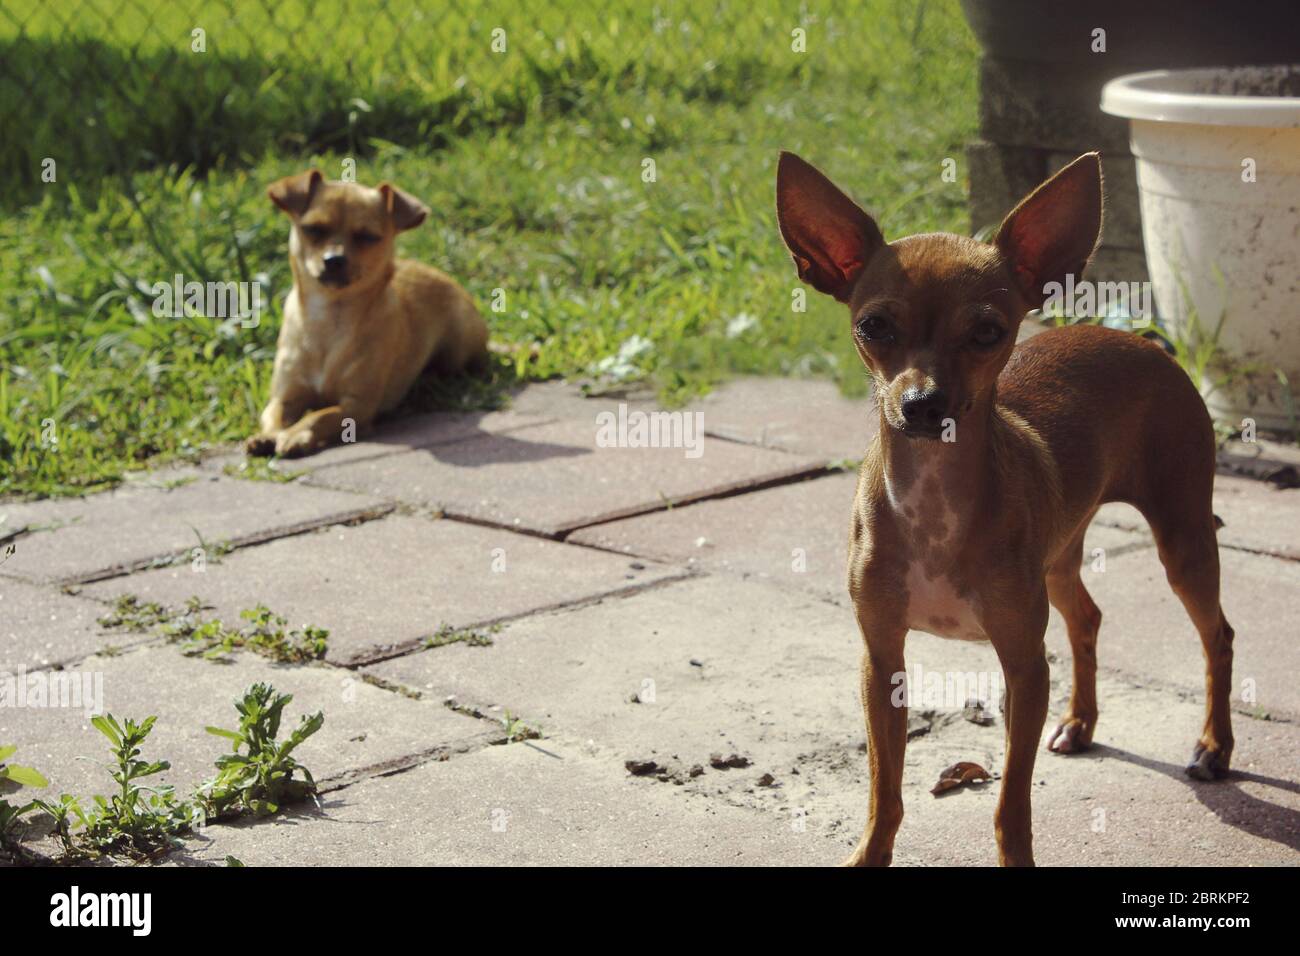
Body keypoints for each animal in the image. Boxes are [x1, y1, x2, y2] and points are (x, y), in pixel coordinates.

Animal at [244, 170, 488, 457]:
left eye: (368, 237)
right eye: (313, 229)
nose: (333, 259)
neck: (330, 318)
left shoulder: (357, 406)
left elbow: (321, 415)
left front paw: (296, 434)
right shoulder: (285, 397)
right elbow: (275, 415)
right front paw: (268, 436)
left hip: (457, 350)